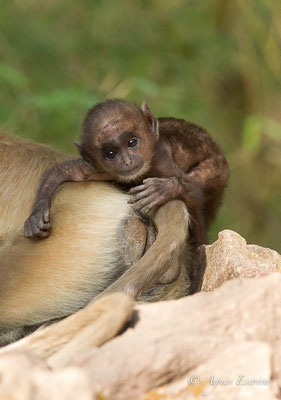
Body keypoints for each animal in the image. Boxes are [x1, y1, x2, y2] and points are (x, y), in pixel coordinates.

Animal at [24, 100, 229, 248]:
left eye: (132, 142)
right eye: (111, 154)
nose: (127, 161)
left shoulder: (160, 158)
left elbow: (193, 192)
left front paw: (163, 189)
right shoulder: (98, 168)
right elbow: (60, 172)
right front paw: (36, 216)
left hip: (217, 169)